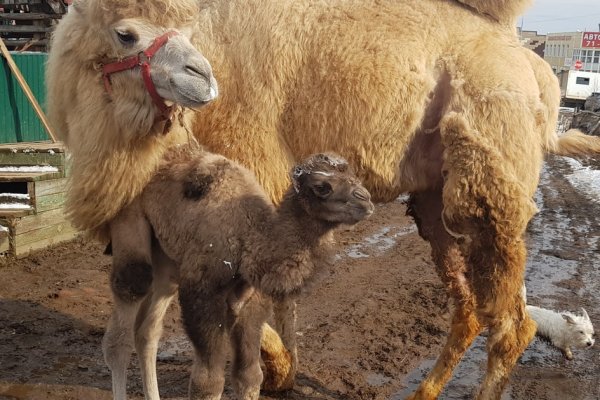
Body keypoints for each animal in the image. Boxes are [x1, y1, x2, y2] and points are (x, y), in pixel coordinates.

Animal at [105, 145, 372, 400]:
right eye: (322, 187)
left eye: (352, 174)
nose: (366, 200)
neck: (249, 240)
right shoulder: (202, 293)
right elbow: (208, 383)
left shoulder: (252, 301)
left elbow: (249, 376)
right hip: (130, 221)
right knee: (124, 319)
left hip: (166, 258)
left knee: (147, 332)